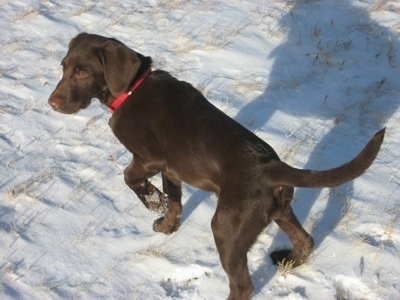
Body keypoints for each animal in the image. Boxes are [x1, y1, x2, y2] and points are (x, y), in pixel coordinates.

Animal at [48, 32, 386, 300]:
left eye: (82, 72)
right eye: (63, 67)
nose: (51, 103)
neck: (133, 88)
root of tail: (270, 166)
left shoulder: (149, 159)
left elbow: (129, 177)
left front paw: (153, 202)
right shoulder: (172, 170)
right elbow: (175, 201)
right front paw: (167, 226)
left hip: (227, 227)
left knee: (243, 285)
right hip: (279, 210)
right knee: (306, 241)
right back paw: (288, 258)